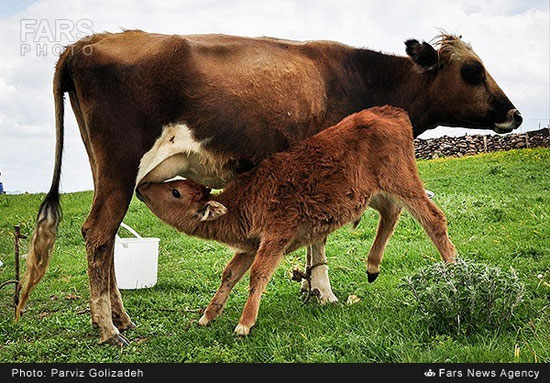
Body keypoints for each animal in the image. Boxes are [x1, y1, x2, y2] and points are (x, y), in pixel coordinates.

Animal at [138, 106, 458, 336]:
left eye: (175, 192)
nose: (142, 187)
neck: (243, 201)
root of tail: (391, 111)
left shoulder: (275, 238)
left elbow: (258, 275)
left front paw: (244, 324)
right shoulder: (251, 245)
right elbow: (230, 274)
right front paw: (207, 316)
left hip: (403, 182)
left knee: (433, 219)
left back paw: (455, 271)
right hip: (372, 193)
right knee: (391, 213)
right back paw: (372, 267)